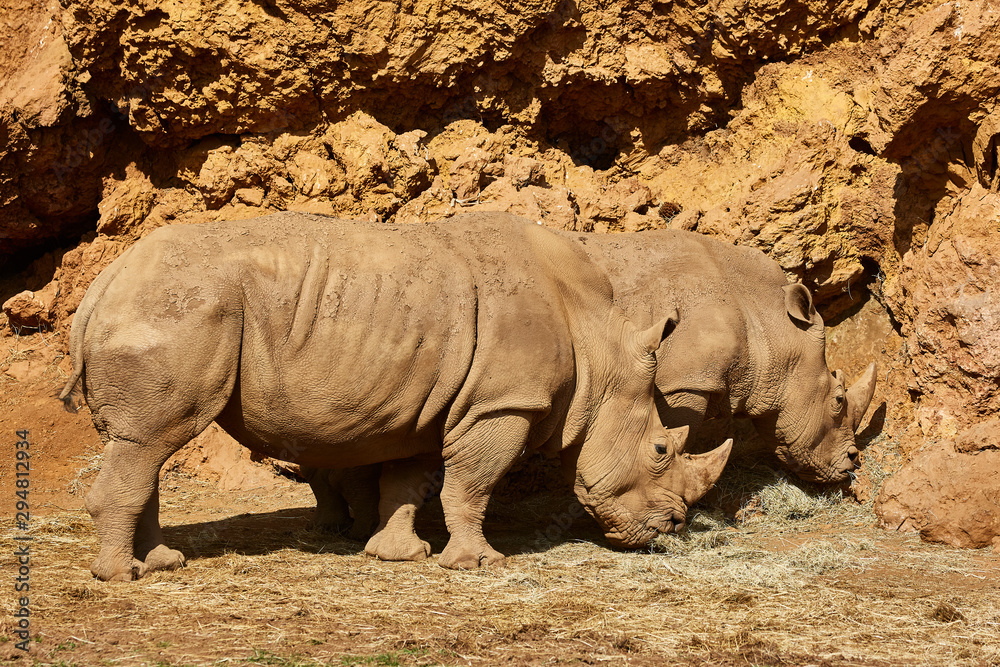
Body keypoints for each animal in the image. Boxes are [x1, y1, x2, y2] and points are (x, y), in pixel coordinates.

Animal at [59, 211, 732, 581]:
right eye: (661, 452)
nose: (670, 528)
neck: (600, 349)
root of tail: (101, 284)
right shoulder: (503, 402)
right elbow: (473, 483)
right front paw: (479, 564)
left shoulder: (434, 404)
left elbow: (408, 483)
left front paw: (399, 555)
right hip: (174, 311)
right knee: (151, 440)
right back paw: (125, 576)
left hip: (163, 308)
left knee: (143, 447)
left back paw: (162, 563)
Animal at [305, 226, 877, 541]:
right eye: (838, 399)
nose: (850, 465)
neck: (766, 321)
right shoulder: (684, 380)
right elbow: (681, 435)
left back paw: (345, 527)